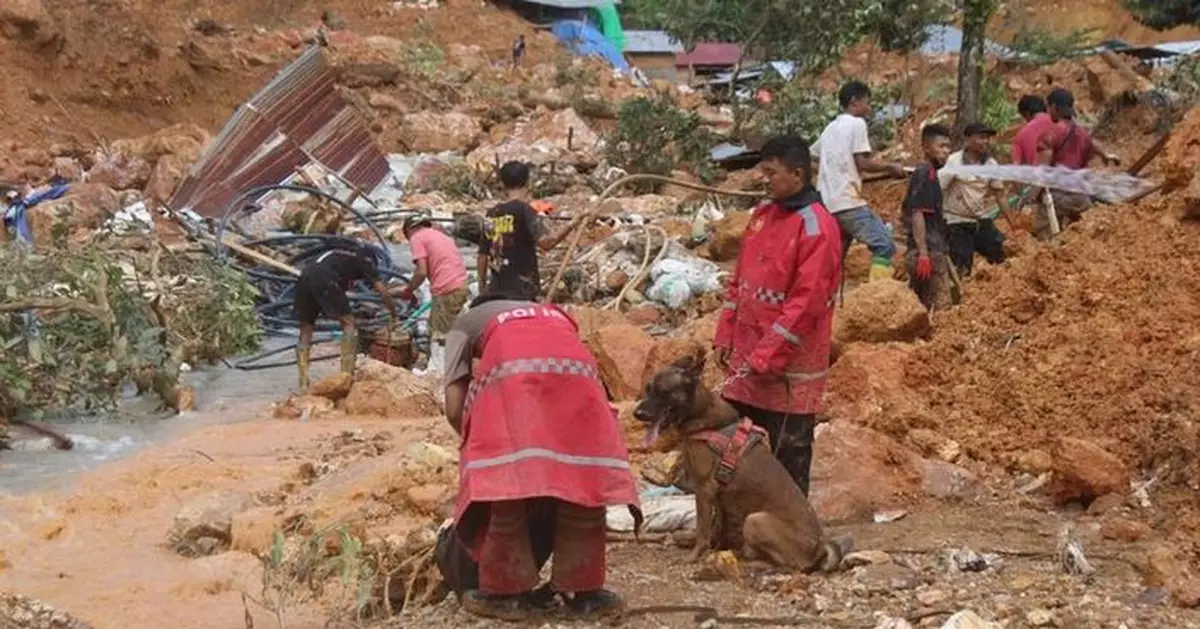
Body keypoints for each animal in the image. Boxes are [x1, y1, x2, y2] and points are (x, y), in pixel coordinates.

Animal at [633, 352, 849, 568]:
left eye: (663, 392)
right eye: (648, 389)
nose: (637, 414)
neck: (702, 415)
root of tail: (819, 547)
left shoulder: (704, 489)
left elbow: (703, 529)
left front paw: (694, 556)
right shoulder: (719, 495)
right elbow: (718, 527)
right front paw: (716, 548)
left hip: (755, 520)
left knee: (790, 564)